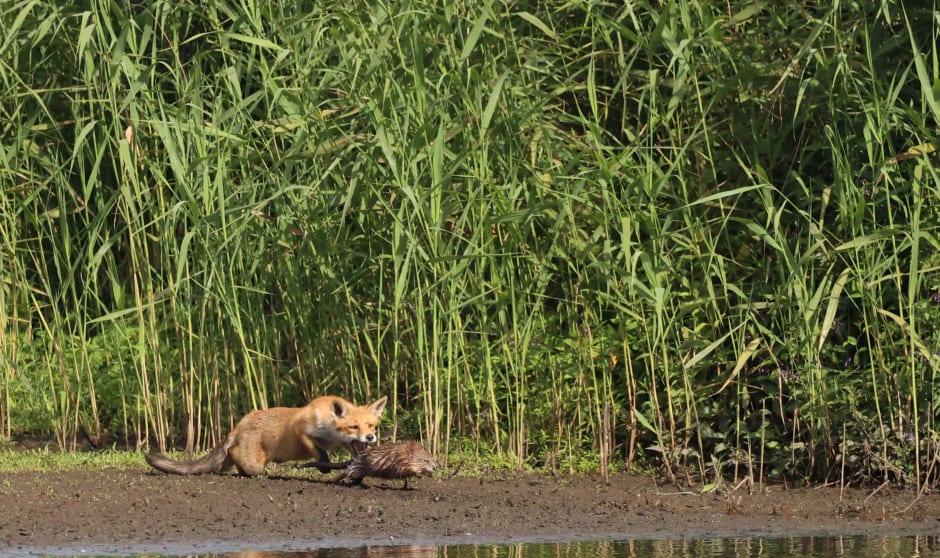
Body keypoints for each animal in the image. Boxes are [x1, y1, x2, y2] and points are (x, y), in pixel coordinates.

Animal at [145, 398, 388, 476]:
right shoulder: (302, 429)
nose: (370, 437)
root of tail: (238, 426)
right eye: (353, 427)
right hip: (253, 462)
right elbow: (317, 450)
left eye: (371, 426)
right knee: (238, 456)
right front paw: (324, 465)